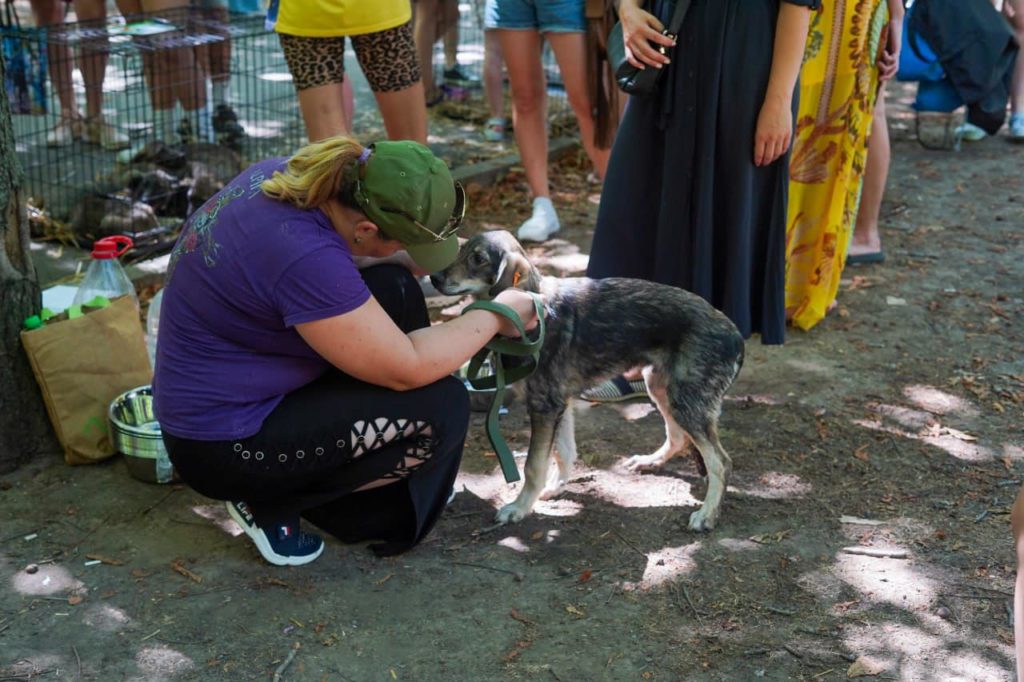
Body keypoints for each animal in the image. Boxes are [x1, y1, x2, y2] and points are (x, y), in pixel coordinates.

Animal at [432, 231, 745, 528]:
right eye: (461, 249)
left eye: (478, 259)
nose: (434, 278)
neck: (536, 312)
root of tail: (736, 336)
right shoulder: (561, 403)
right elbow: (564, 452)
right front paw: (555, 487)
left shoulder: (544, 406)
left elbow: (534, 465)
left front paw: (519, 508)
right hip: (660, 388)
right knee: (678, 437)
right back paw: (649, 462)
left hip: (685, 402)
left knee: (721, 462)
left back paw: (707, 515)